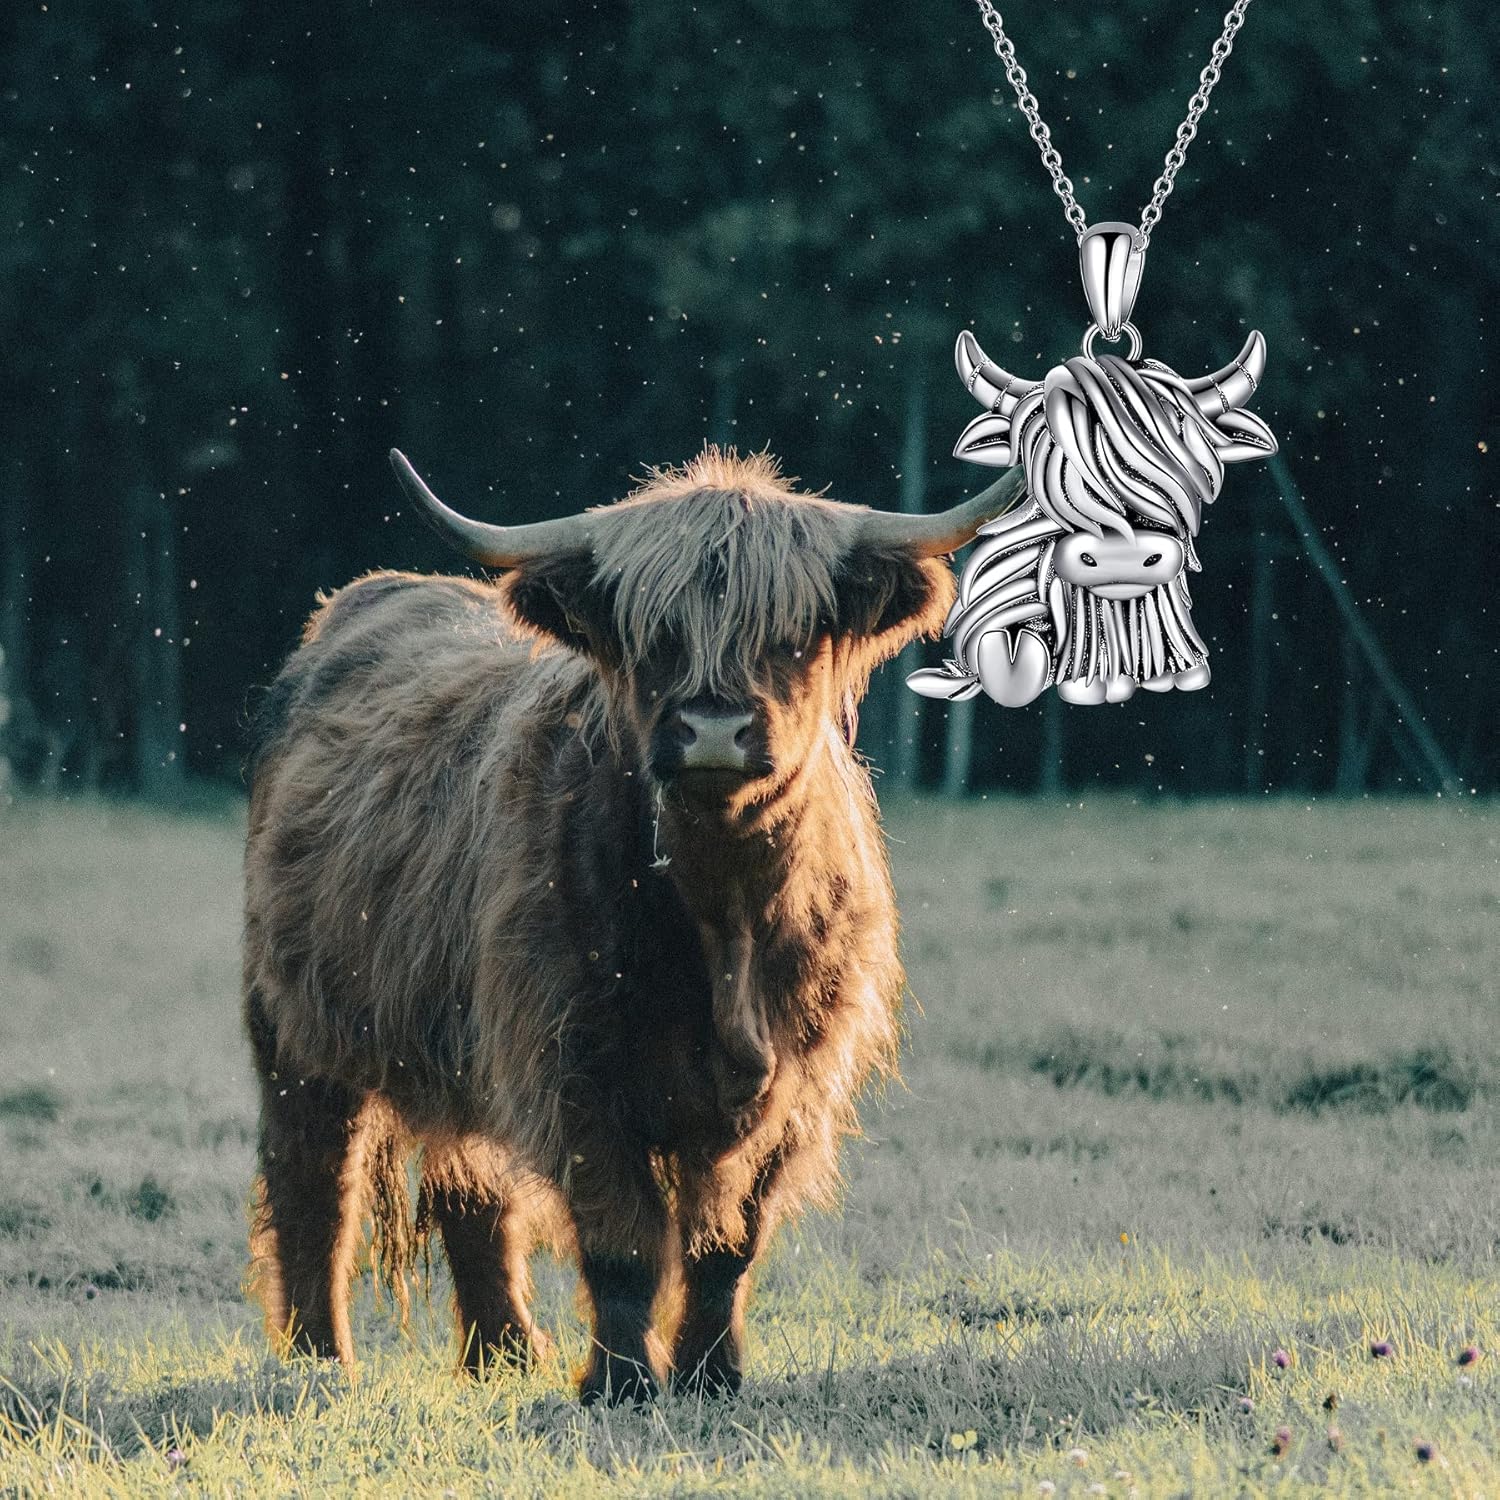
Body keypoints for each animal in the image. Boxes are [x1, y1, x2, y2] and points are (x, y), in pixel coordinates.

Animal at [242, 445, 1019, 1403]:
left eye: (792, 631)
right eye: (655, 636)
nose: (714, 727)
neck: (725, 919)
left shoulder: (797, 1081)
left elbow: (729, 1242)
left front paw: (712, 1374)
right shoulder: (574, 1065)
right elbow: (623, 1239)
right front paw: (620, 1383)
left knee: (474, 1185)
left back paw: (506, 1351)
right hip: (292, 1024)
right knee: (316, 1176)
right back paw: (319, 1358)